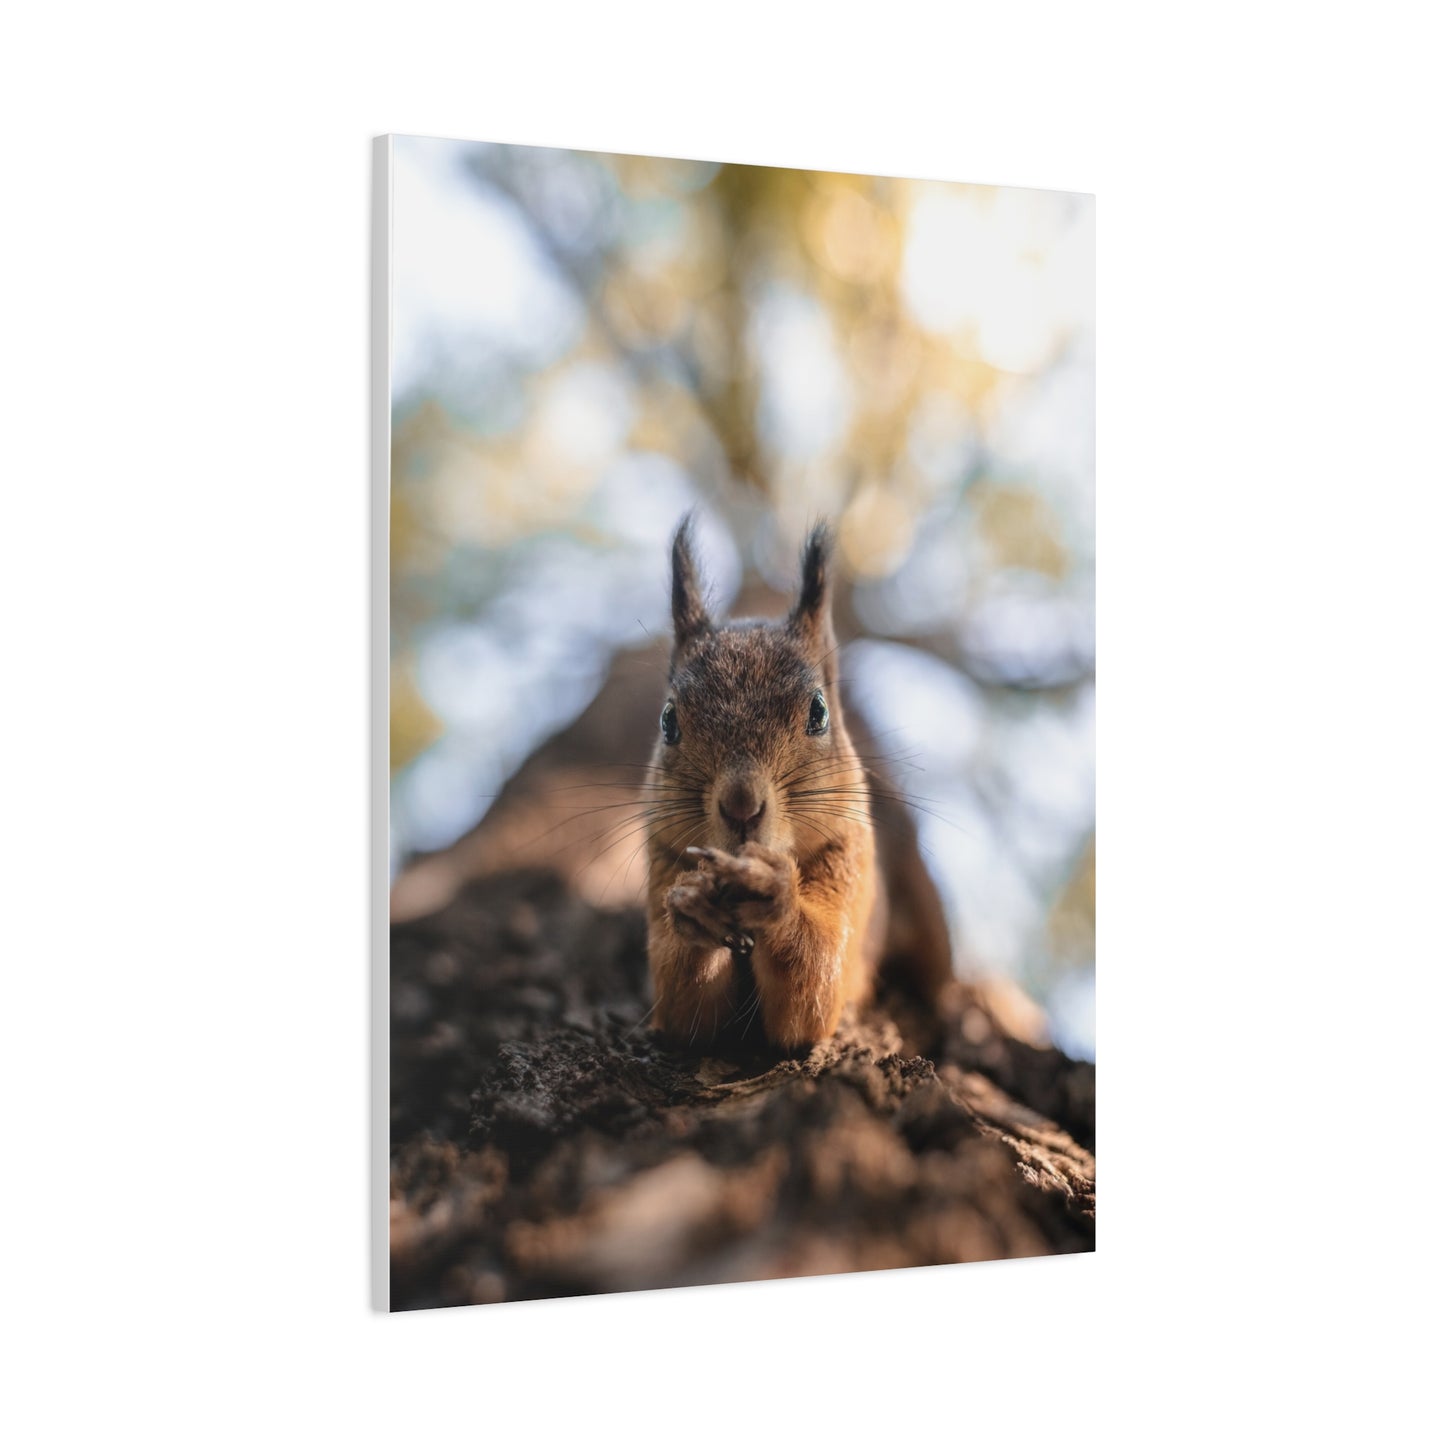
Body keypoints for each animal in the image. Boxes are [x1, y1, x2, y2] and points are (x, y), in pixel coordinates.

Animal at [645, 517, 954, 1051]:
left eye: (819, 711)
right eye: (668, 721)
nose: (741, 806)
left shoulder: (851, 859)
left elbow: (813, 987)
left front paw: (775, 892)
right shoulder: (659, 859)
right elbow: (686, 1008)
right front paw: (693, 907)